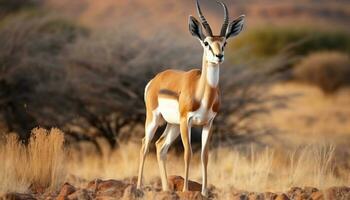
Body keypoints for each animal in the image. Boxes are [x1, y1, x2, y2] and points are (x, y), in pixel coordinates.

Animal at [135, 0, 245, 197]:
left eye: (224, 42)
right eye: (207, 43)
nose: (219, 56)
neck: (203, 94)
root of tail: (156, 79)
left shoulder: (208, 123)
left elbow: (204, 156)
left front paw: (205, 192)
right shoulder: (187, 121)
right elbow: (188, 153)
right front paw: (186, 190)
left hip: (173, 124)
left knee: (160, 146)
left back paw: (166, 189)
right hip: (155, 119)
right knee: (144, 145)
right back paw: (139, 187)